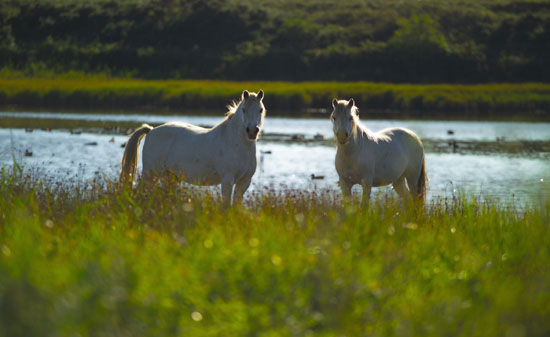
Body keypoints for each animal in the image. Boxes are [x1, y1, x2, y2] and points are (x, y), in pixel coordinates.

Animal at [121, 89, 268, 205]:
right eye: (244, 110)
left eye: (260, 110)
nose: (252, 131)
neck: (237, 145)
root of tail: (151, 130)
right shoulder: (227, 181)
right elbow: (226, 205)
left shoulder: (244, 182)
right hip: (150, 174)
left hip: (170, 177)